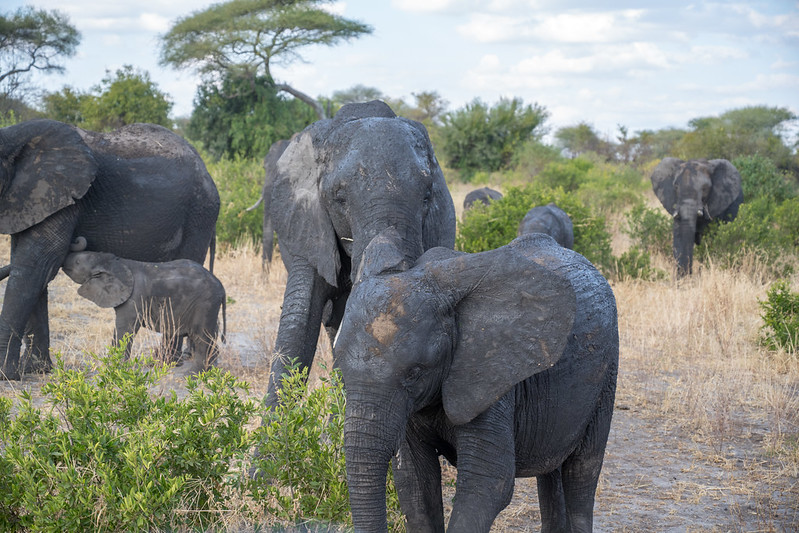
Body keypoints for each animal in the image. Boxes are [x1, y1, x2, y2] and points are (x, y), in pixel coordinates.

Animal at [61, 251, 225, 368]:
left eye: (77, 262)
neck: (117, 261)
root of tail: (221, 286)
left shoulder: (134, 298)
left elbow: (125, 329)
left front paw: (114, 367)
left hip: (205, 304)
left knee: (201, 338)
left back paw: (194, 374)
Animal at [334, 230, 620, 532]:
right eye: (341, 371)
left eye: (414, 373)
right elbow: (416, 485)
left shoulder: (490, 373)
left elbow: (487, 484)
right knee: (551, 472)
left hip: (607, 371)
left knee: (582, 472)